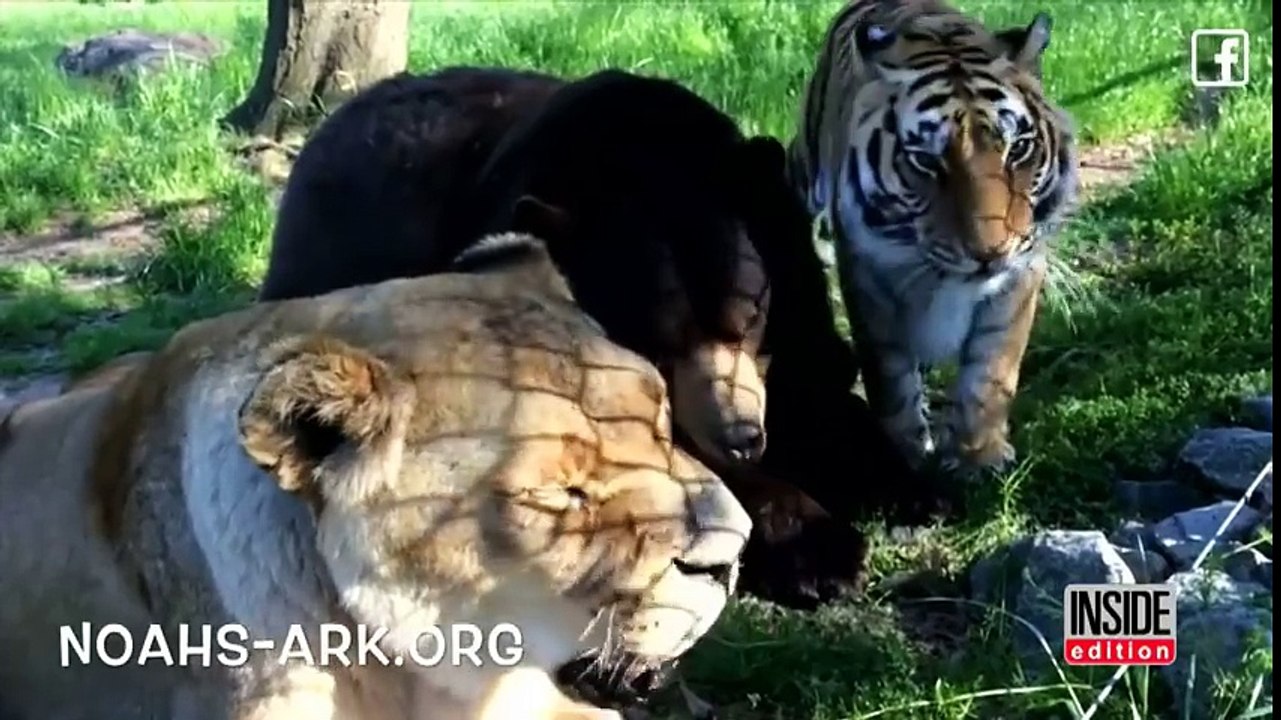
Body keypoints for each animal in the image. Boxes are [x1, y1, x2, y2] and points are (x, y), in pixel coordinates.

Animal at [787, 0, 1079, 477]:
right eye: (926, 161)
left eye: (1017, 148)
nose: (991, 252)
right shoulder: (868, 275)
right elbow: (889, 372)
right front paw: (903, 449)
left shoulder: (1022, 268)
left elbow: (993, 366)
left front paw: (978, 454)